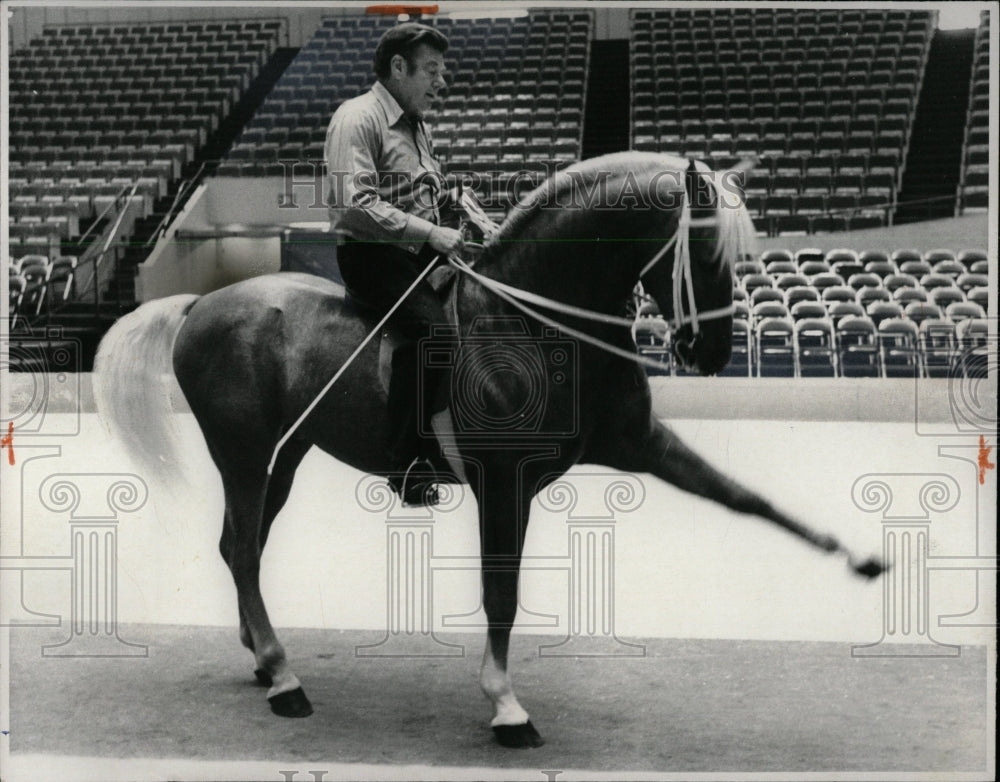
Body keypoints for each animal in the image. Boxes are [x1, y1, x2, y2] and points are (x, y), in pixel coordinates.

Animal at [90, 155, 880, 752]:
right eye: (704, 247)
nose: (710, 352)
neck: (535, 321)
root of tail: (199, 303)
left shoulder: (641, 444)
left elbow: (746, 497)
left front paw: (856, 557)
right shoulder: (506, 483)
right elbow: (501, 591)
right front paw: (506, 706)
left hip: (283, 457)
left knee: (237, 546)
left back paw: (261, 659)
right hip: (246, 455)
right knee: (247, 553)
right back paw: (284, 678)